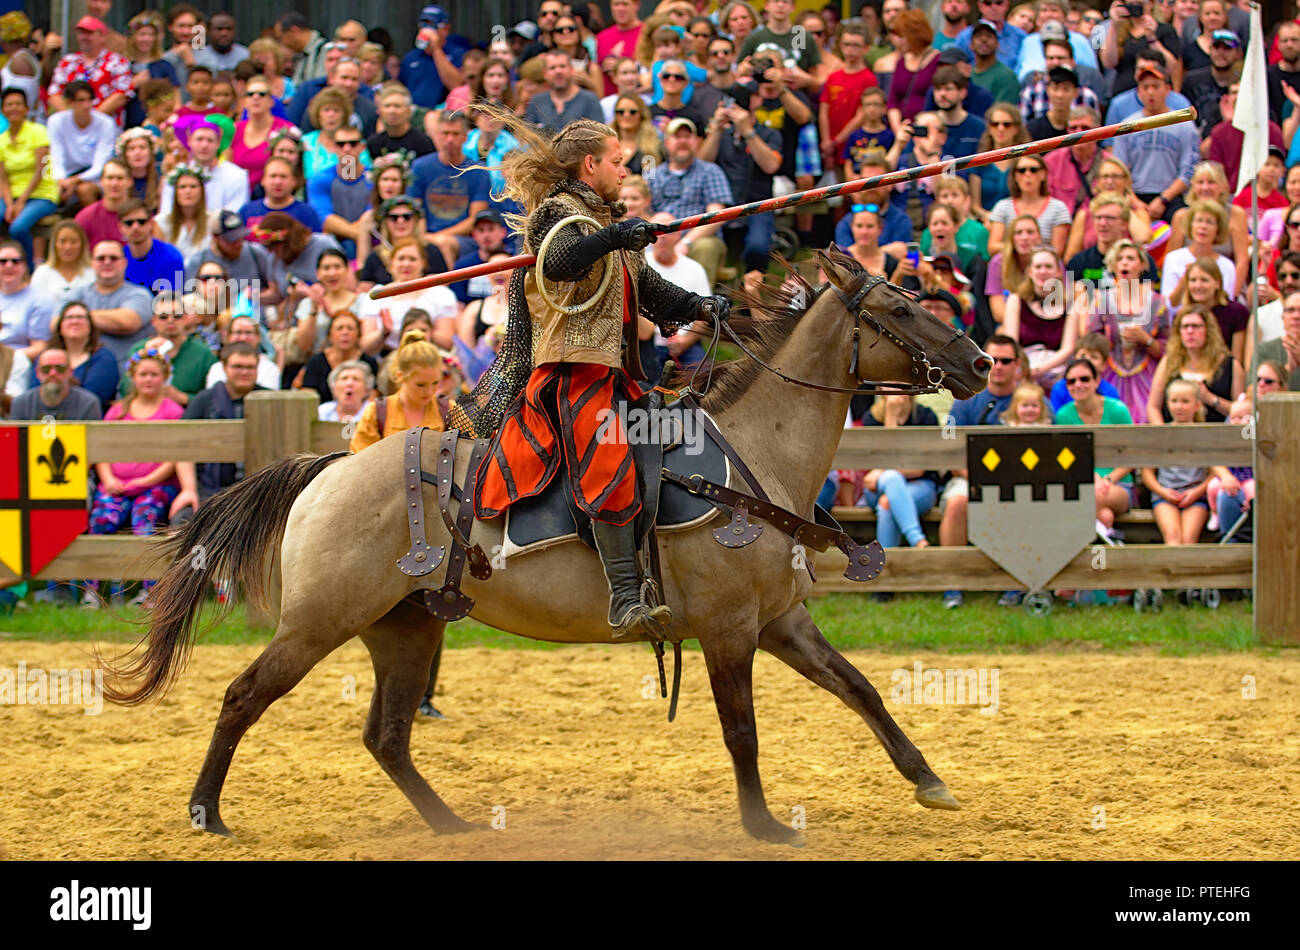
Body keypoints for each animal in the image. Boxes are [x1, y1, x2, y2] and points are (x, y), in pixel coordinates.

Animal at [106, 246, 987, 847]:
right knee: (243, 697)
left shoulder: (782, 624)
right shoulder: (731, 630)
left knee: (386, 737)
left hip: (405, 627)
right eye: (902, 307)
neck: (752, 459)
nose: (979, 361)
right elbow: (743, 729)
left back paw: (452, 824)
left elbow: (861, 690)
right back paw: (206, 811)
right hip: (319, 623)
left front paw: (931, 782)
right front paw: (764, 824)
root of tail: (329, 468)